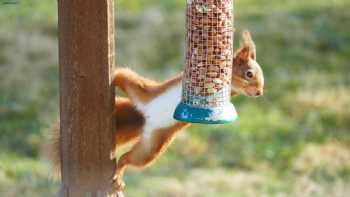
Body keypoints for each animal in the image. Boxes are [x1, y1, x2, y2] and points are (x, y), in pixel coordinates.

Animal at [51, 31, 262, 192]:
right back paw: (110, 76)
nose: (259, 92)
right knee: (122, 75)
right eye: (249, 73)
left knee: (128, 159)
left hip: (151, 146)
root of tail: (145, 117)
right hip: (142, 90)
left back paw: (119, 171)